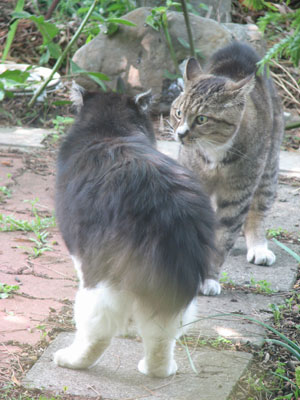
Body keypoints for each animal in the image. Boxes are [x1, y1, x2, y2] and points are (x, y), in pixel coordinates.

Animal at [170, 42, 284, 296]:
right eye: (178, 113)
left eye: (202, 119)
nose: (180, 134)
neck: (214, 155)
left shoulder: (237, 195)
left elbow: (223, 237)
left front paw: (209, 279)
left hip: (268, 168)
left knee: (258, 210)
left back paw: (258, 246)